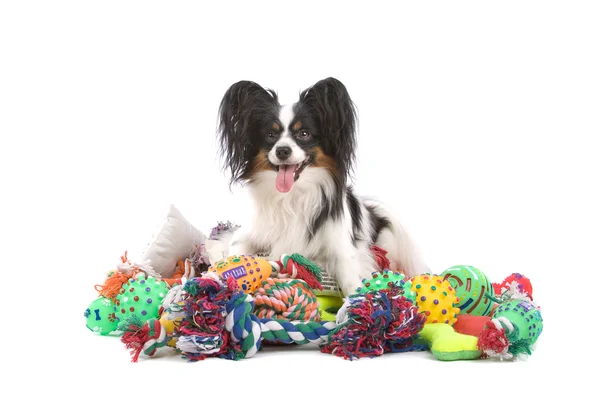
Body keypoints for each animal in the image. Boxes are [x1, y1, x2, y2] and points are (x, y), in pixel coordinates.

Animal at [218, 78, 428, 296]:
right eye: (270, 135)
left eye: (304, 133)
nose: (282, 150)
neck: (292, 195)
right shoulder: (248, 234)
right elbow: (234, 253)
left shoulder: (341, 248)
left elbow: (350, 280)